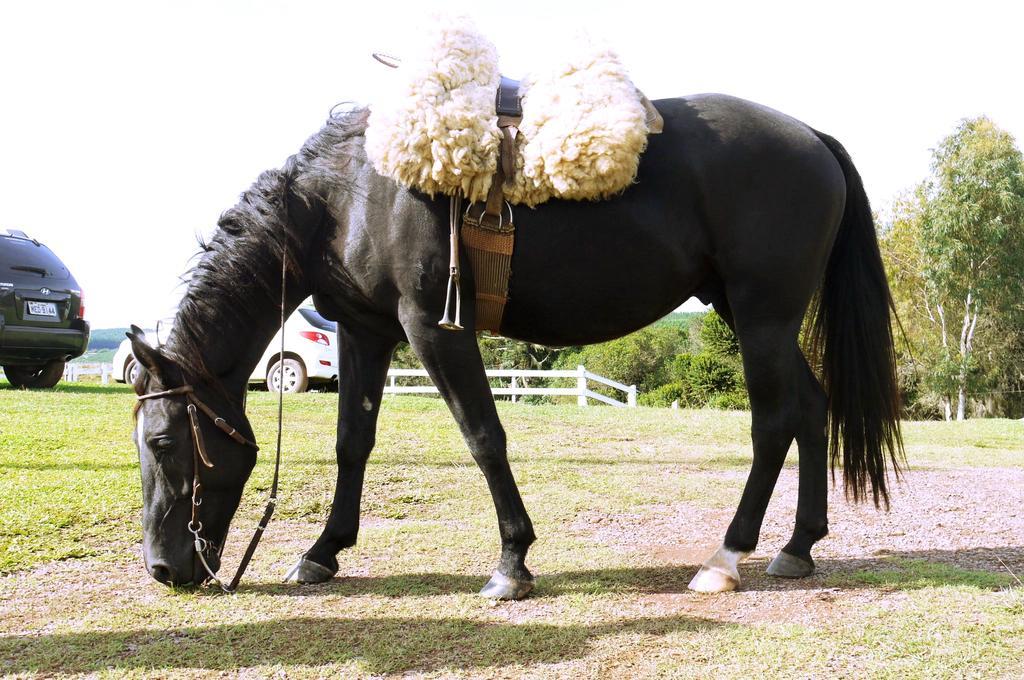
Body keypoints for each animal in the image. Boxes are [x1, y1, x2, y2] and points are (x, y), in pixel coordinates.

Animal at [130, 94, 905, 593]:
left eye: (163, 442)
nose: (164, 569)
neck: (351, 193)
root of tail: (812, 136)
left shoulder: (431, 327)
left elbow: (484, 436)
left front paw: (511, 561)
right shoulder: (366, 330)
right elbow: (353, 442)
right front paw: (323, 553)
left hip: (760, 317)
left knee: (775, 422)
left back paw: (726, 556)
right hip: (755, 317)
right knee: (813, 409)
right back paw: (798, 546)